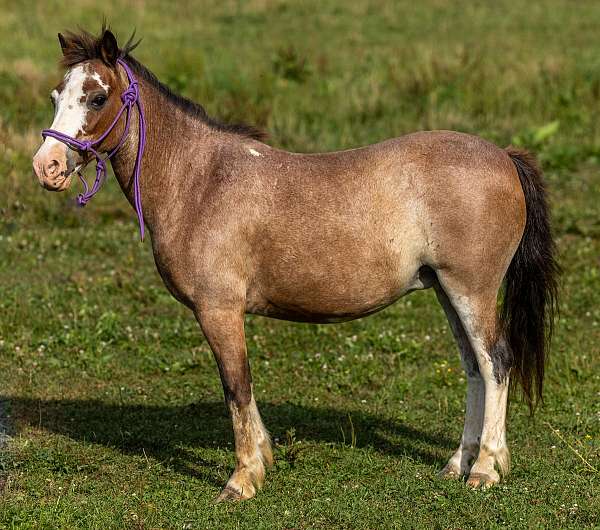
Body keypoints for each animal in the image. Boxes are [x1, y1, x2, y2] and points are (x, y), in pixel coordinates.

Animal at [32, 27, 556, 500]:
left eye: (97, 97)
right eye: (58, 95)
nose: (47, 166)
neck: (200, 180)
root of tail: (504, 157)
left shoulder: (219, 311)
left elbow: (236, 386)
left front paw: (242, 479)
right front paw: (263, 458)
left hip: (471, 290)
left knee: (495, 363)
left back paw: (485, 469)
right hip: (448, 291)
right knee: (473, 369)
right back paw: (456, 464)